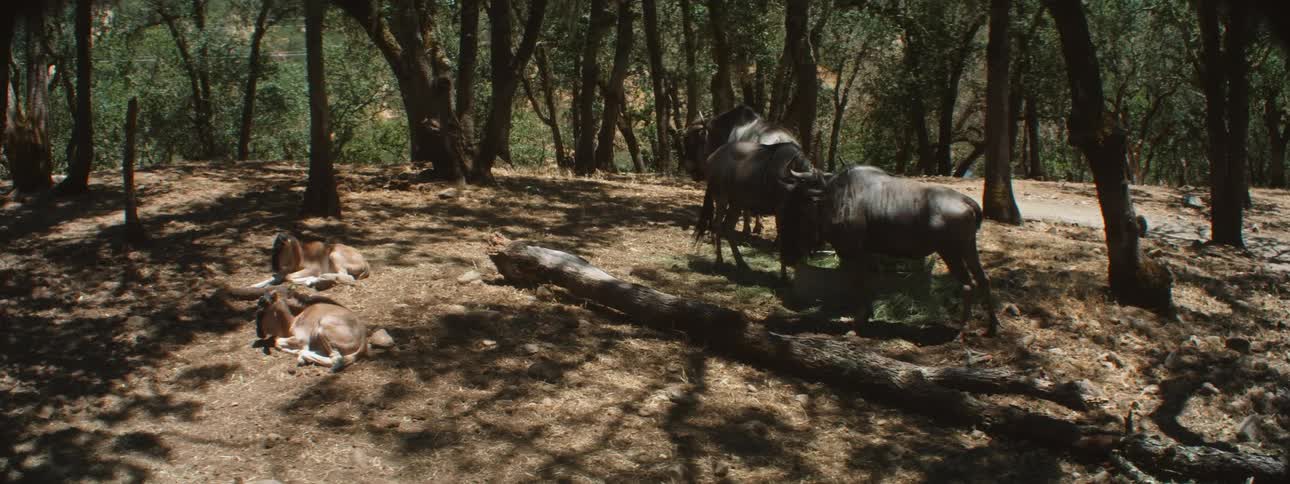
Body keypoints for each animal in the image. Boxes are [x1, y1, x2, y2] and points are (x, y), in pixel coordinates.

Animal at [694, 141, 816, 280]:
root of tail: (712, 158)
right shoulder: (781, 212)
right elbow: (782, 239)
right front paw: (784, 275)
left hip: (737, 204)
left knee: (728, 227)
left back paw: (741, 263)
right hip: (722, 198)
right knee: (717, 226)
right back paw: (719, 261)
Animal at [779, 166, 1001, 336]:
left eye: (798, 207)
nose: (787, 255)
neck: (834, 197)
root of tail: (967, 201)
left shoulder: (853, 252)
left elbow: (858, 284)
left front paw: (857, 323)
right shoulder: (867, 254)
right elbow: (867, 283)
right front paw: (866, 316)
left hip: (951, 251)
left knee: (968, 284)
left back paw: (962, 329)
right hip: (968, 248)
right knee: (983, 280)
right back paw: (991, 327)